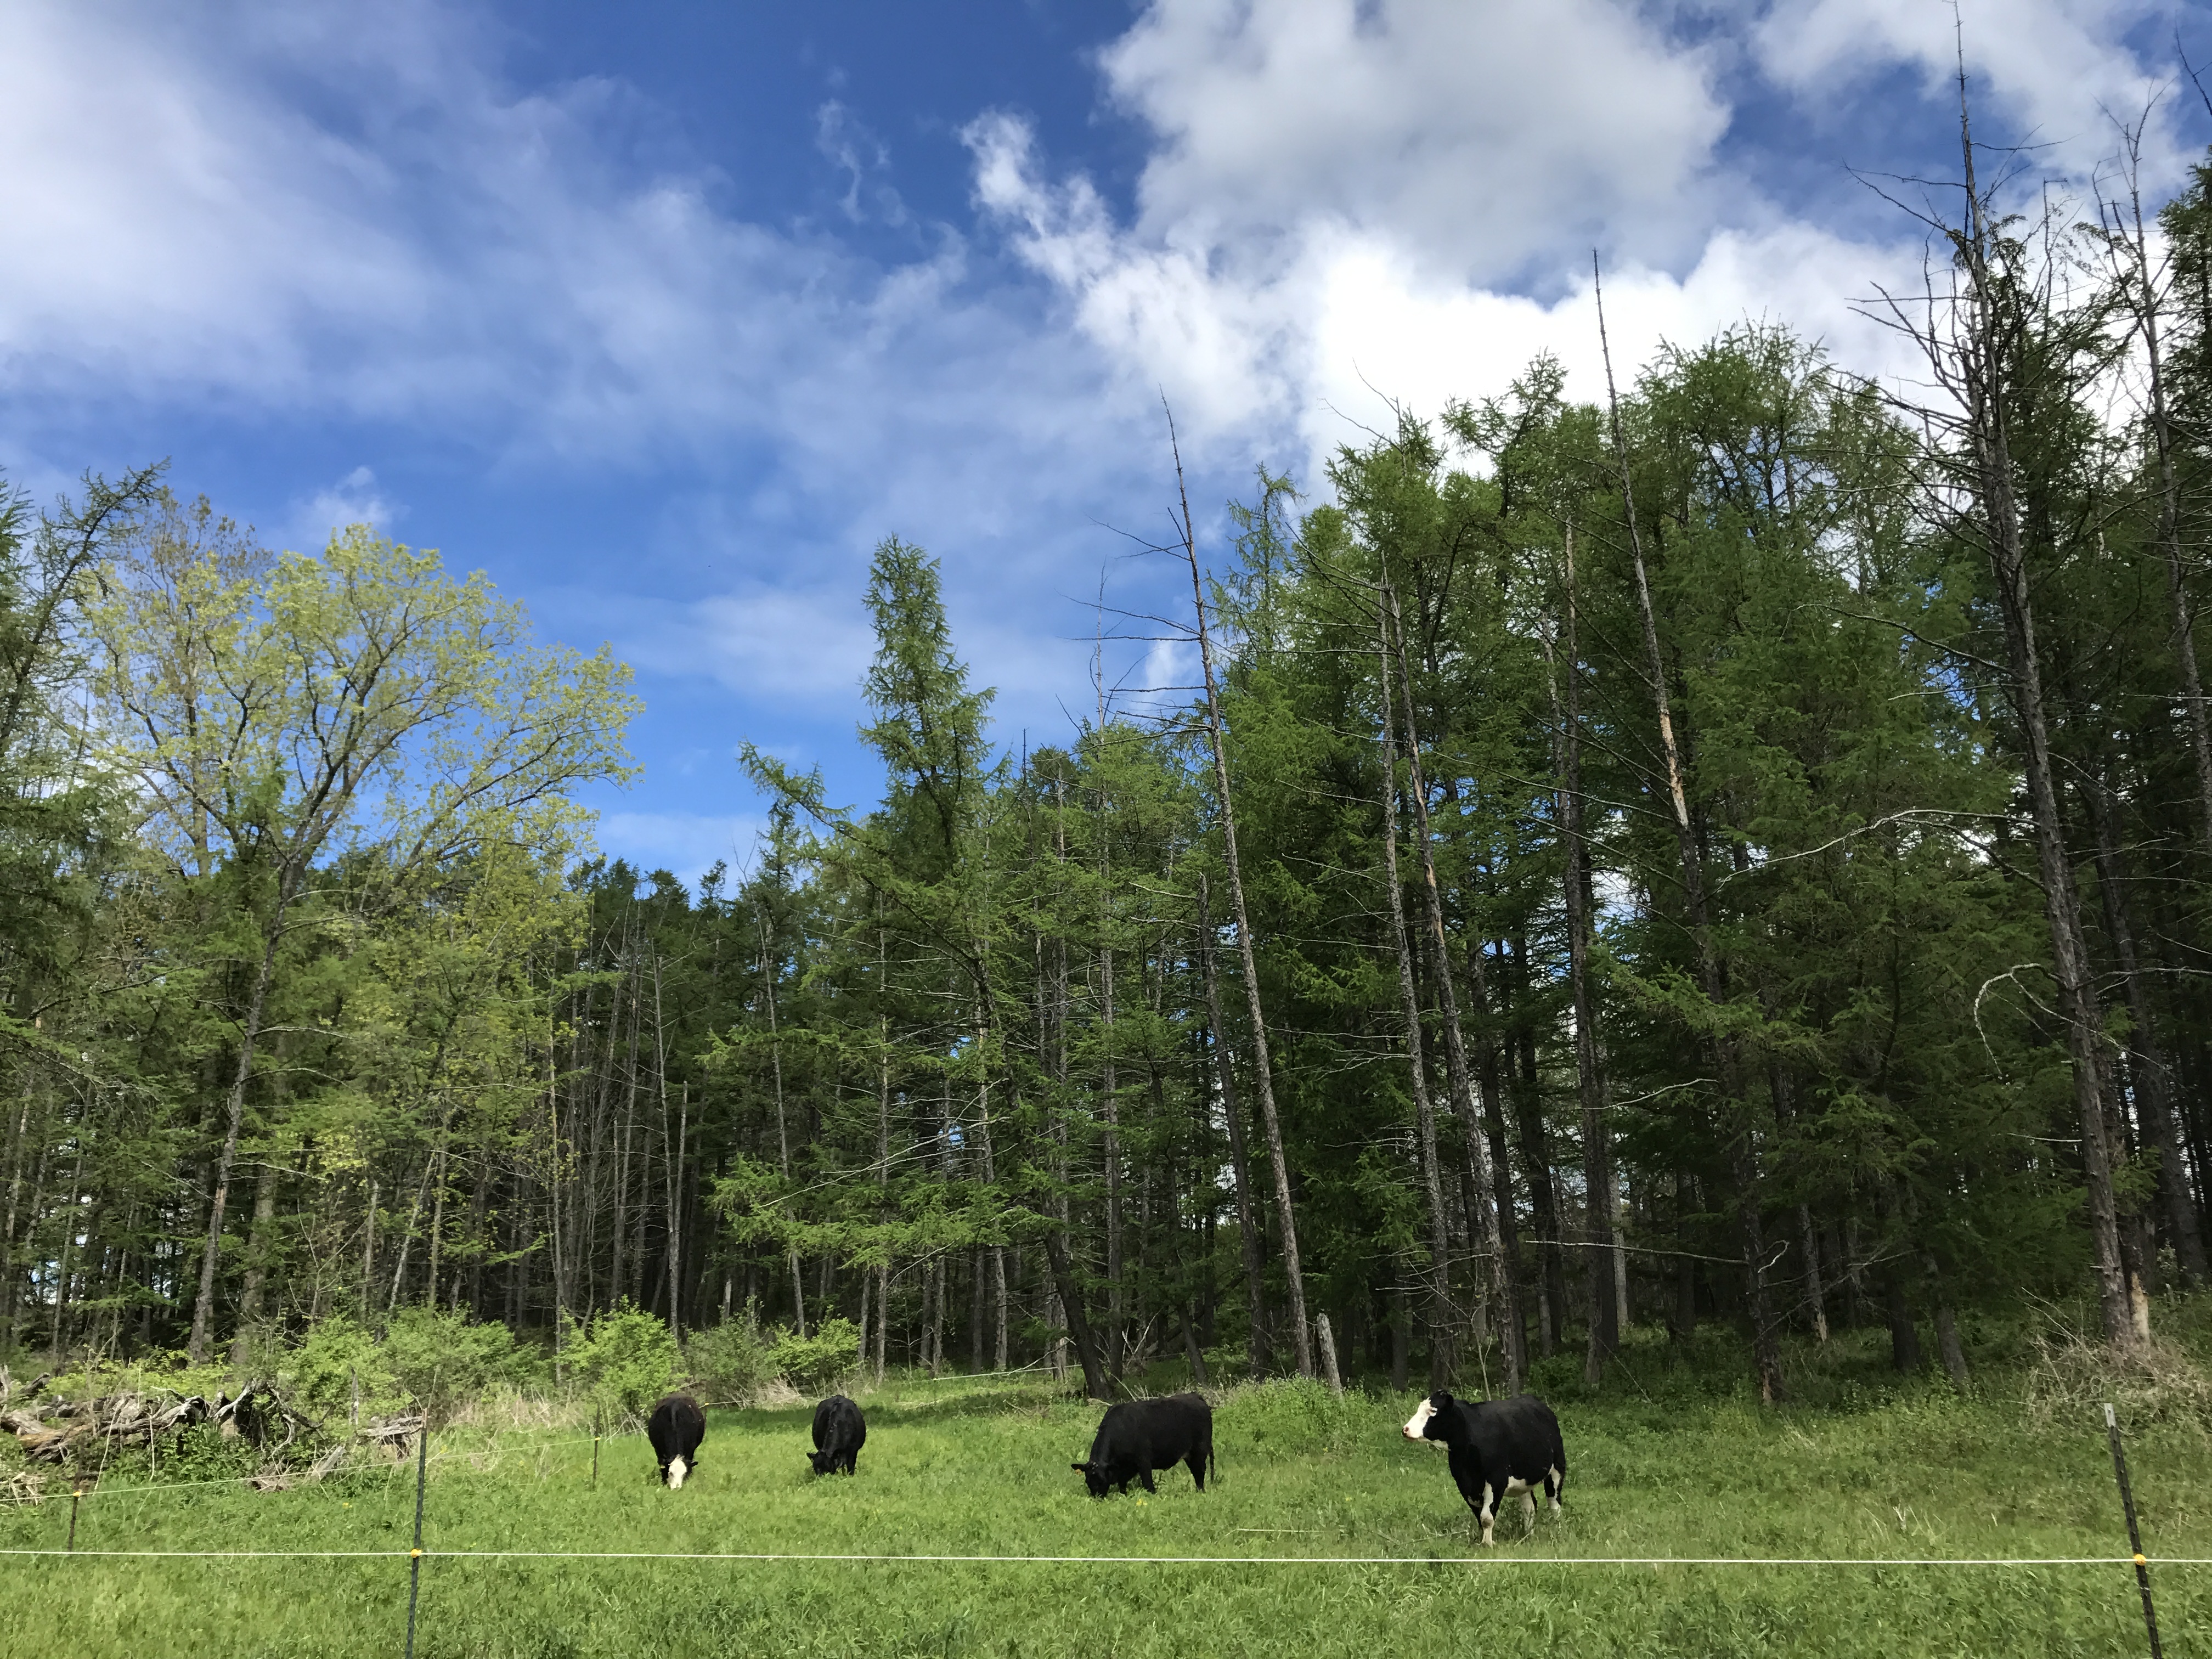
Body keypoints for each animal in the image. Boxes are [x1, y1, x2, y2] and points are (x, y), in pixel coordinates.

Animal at [1066, 1389, 1212, 1504]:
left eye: (1102, 1480)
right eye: (1088, 1480)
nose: (1097, 1499)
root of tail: (1195, 1396)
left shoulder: (1144, 1461)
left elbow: (1148, 1485)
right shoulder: (1126, 1468)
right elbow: (1122, 1486)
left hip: (1200, 1451)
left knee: (1200, 1474)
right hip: (1190, 1455)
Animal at [1407, 1389, 1566, 1548]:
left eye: (1433, 1411)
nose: (1405, 1429)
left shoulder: (1497, 1480)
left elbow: (1487, 1517)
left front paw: (1487, 1544)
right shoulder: (1464, 1484)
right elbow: (1479, 1515)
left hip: (1557, 1470)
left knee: (1554, 1503)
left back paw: (1557, 1530)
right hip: (1524, 1480)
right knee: (1530, 1506)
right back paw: (1528, 1534)